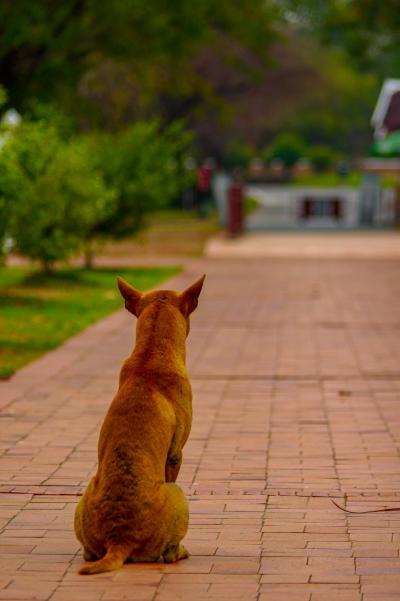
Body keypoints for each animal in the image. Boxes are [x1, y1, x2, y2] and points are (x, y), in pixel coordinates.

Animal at [74, 274, 206, 572]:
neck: (151, 353)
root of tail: (118, 541)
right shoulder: (175, 455)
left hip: (84, 499)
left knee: (88, 552)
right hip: (178, 495)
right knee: (169, 554)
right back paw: (180, 551)